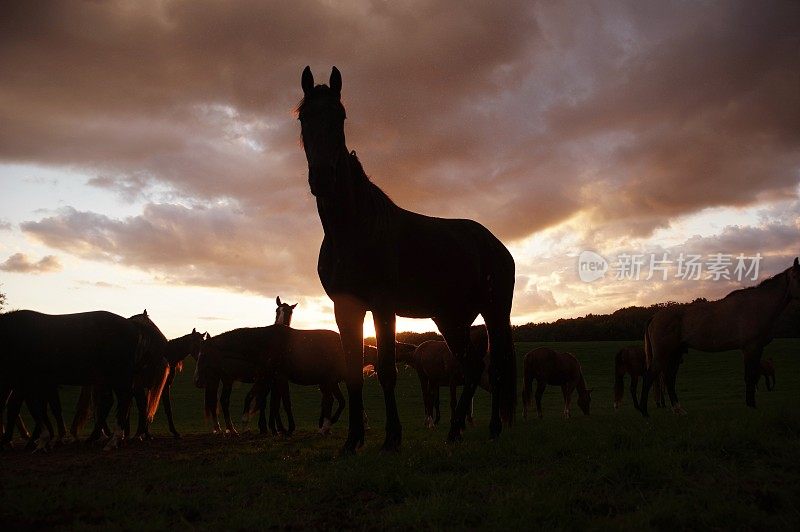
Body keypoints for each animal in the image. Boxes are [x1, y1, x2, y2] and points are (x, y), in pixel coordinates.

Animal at [0, 310, 147, 450]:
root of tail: (132, 326)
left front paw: (41, 440)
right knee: (112, 402)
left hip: (118, 377)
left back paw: (114, 440)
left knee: (124, 402)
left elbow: (31, 409)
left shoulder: (29, 384)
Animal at [296, 64, 516, 450]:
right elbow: (354, 371)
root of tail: (496, 245)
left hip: (495, 313)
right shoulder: (346, 307)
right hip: (450, 319)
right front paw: (352, 442)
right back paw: (455, 430)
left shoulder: (383, 306)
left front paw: (391, 439)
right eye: (303, 116)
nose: (323, 177)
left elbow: (386, 370)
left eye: (340, 116)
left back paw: (490, 429)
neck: (354, 229)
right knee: (474, 367)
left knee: (497, 366)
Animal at [640, 258, 800, 416]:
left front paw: (751, 405)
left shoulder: (754, 349)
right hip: (663, 354)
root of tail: (655, 316)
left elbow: (752, 376)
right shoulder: (751, 348)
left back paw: (678, 410)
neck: (755, 306)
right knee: (649, 377)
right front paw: (751, 407)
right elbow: (750, 377)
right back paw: (644, 412)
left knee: (669, 379)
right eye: (795, 276)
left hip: (675, 354)